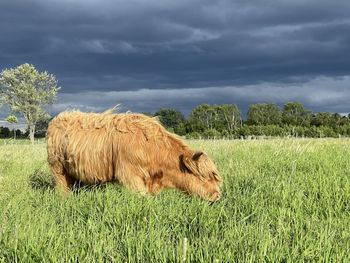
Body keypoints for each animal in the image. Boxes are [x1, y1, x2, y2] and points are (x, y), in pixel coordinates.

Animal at [46, 110, 221, 201]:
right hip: (57, 168)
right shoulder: (130, 174)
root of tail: (58, 118)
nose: (217, 196)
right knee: (62, 187)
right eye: (205, 177)